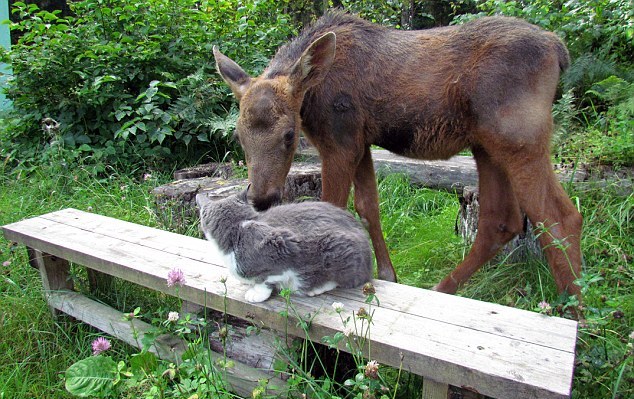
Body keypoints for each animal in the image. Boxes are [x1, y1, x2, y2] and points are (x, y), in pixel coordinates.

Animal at [198, 191, 372, 304]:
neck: (239, 225)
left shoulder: (281, 245)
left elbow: (267, 278)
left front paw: (257, 293)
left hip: (338, 250)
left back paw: (316, 288)